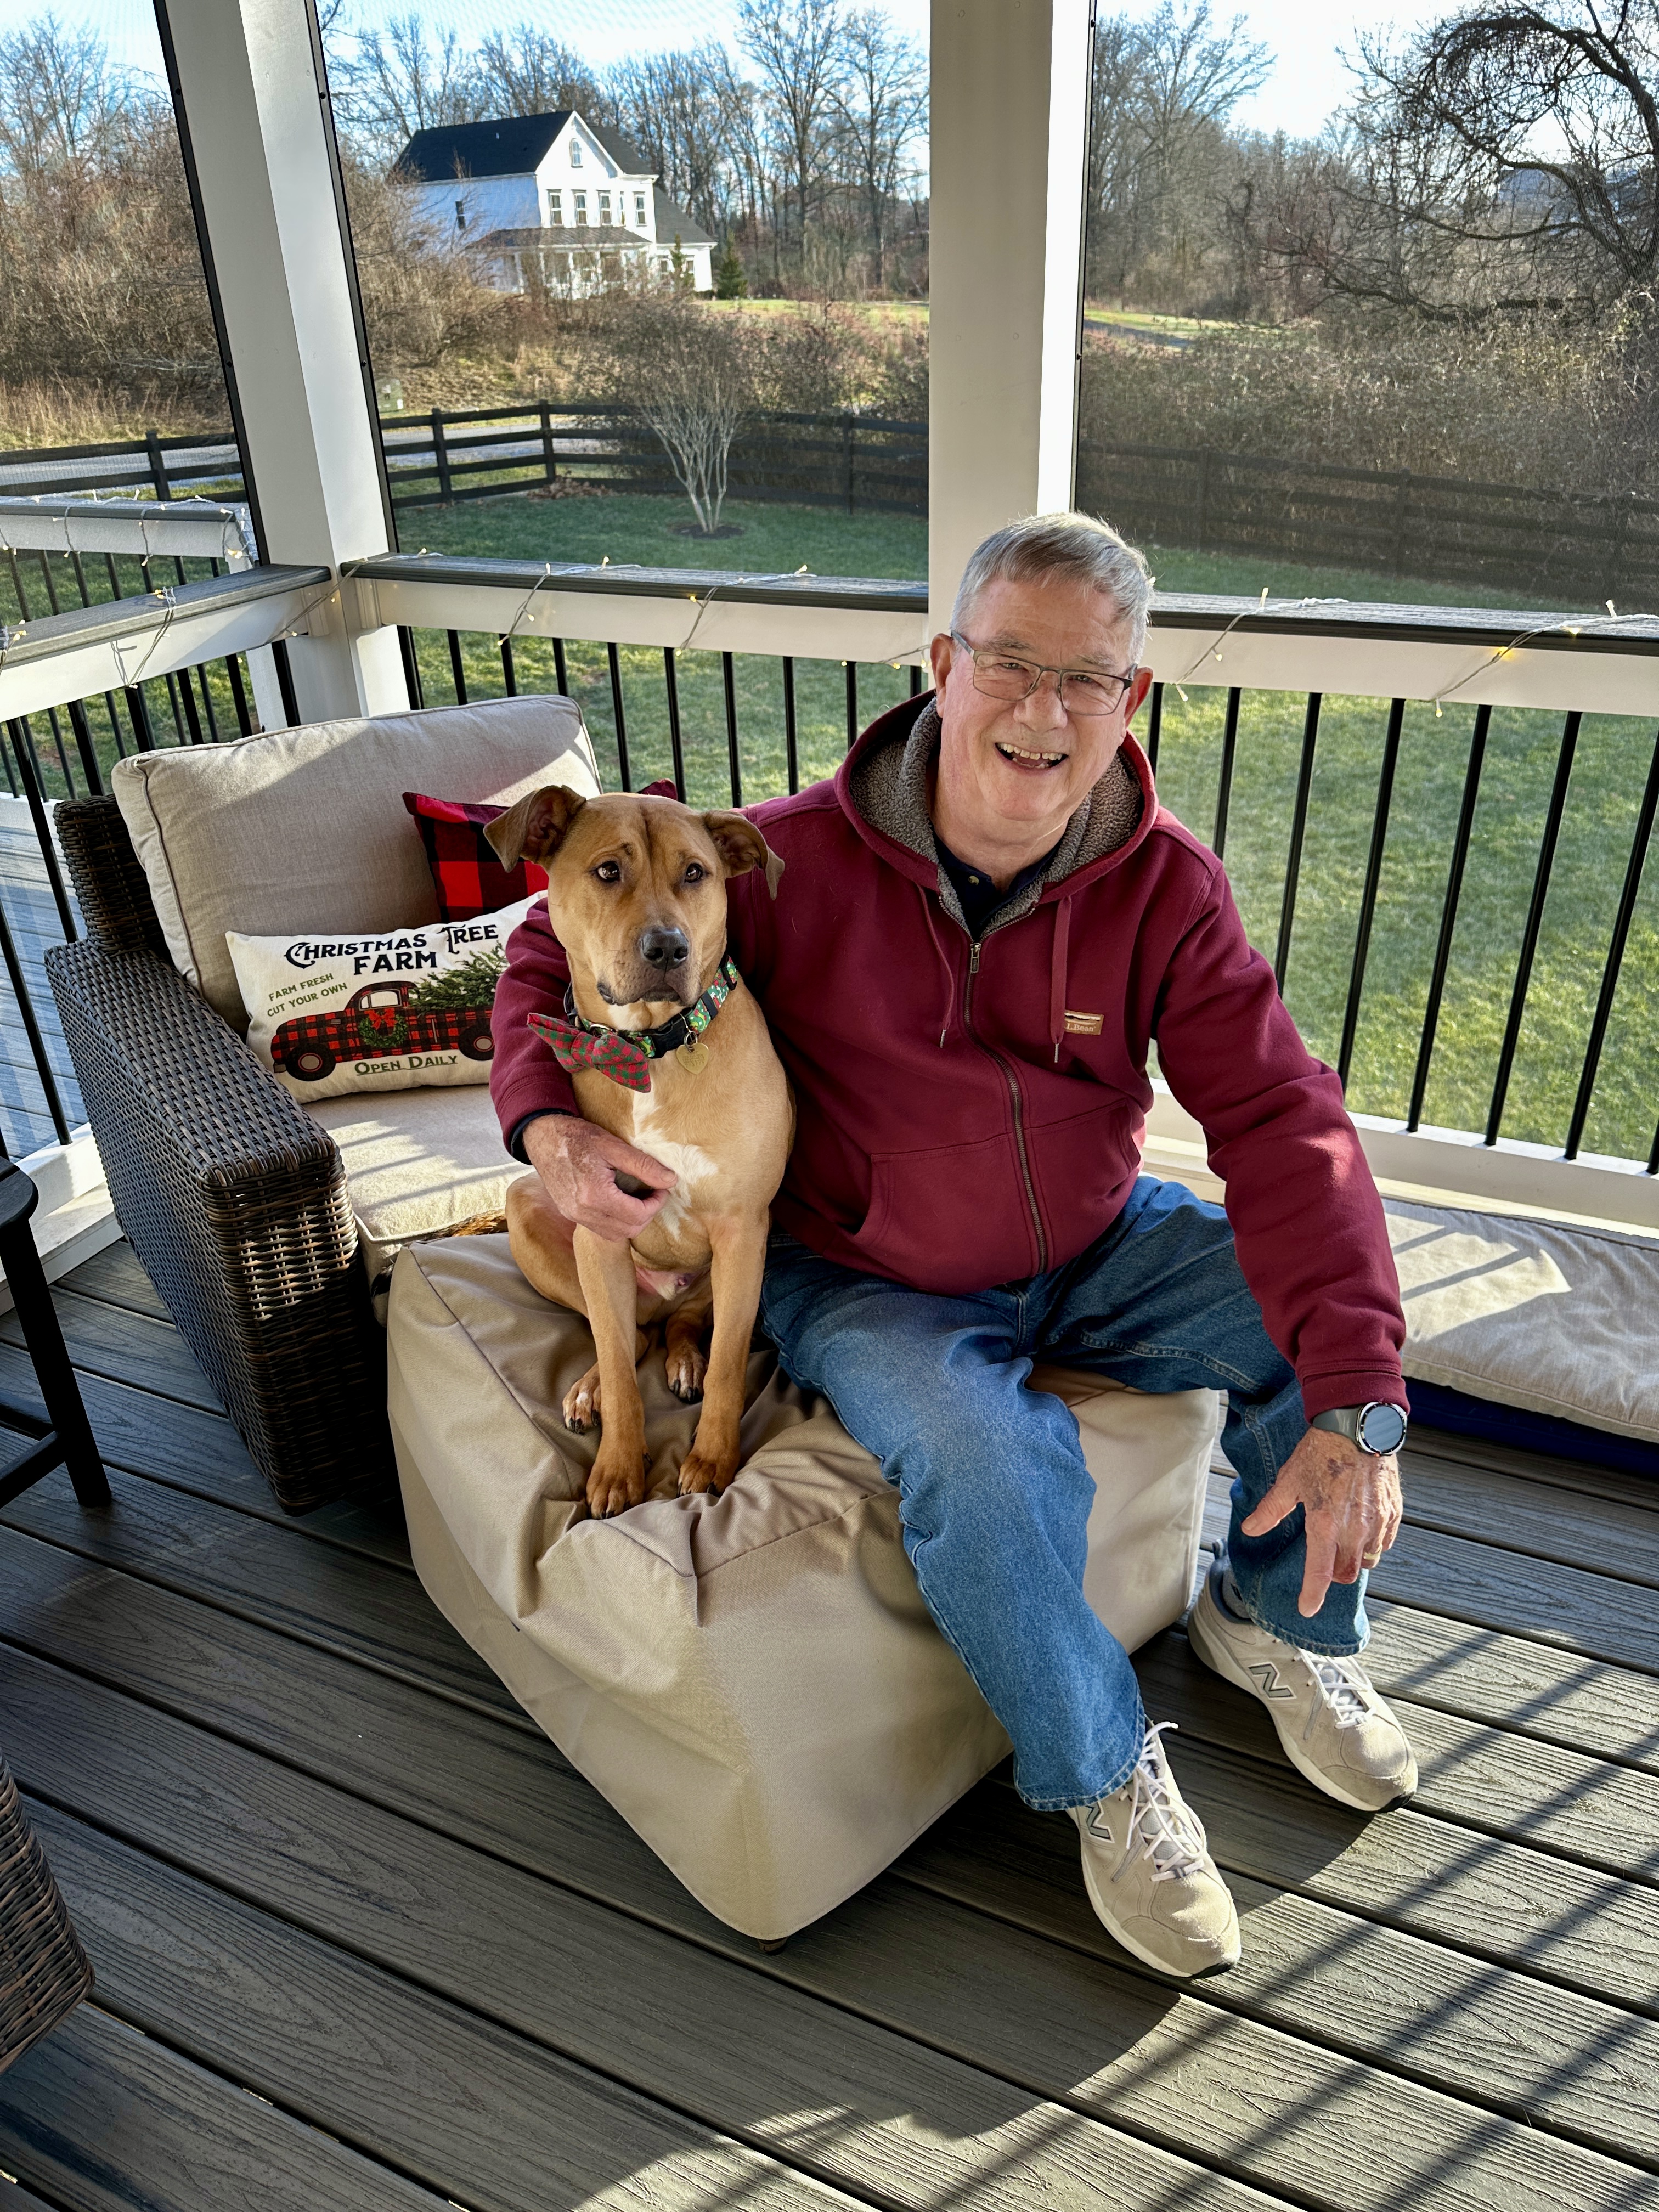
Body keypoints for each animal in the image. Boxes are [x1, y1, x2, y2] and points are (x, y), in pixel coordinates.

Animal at [486, 785, 792, 1519]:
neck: (651, 1048)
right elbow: (625, 1375)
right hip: (540, 1217)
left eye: (695, 873)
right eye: (607, 871)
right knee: (623, 1338)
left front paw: (711, 1459)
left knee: (677, 1327)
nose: (668, 948)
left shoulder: (743, 1230)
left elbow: (730, 1362)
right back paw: (592, 1384)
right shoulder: (598, 1226)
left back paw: (684, 1360)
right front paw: (619, 1465)